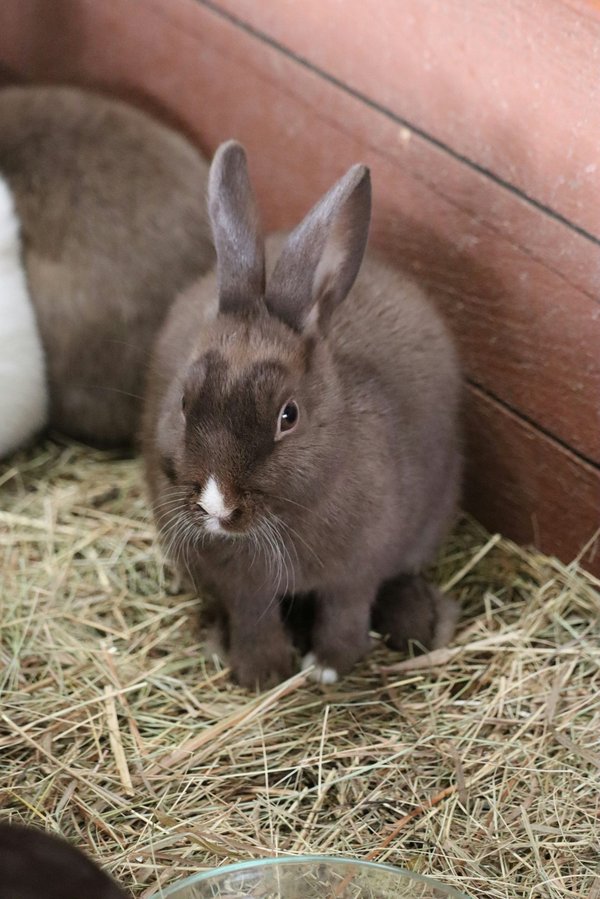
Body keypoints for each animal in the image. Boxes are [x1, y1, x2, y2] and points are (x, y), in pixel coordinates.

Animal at [142, 140, 462, 689]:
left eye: (288, 416)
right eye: (184, 402)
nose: (216, 506)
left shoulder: (357, 570)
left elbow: (346, 609)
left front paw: (330, 666)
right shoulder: (242, 585)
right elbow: (254, 616)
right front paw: (263, 673)